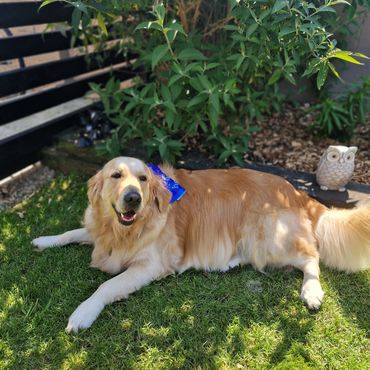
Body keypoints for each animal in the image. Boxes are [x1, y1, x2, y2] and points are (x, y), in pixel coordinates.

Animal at [32, 156, 370, 332]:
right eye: (116, 175)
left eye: (143, 179)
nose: (133, 198)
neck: (122, 231)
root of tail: (297, 191)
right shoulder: (100, 232)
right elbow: (71, 232)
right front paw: (44, 240)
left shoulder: (150, 265)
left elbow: (106, 286)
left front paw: (83, 313)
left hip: (266, 237)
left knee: (311, 256)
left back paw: (311, 291)